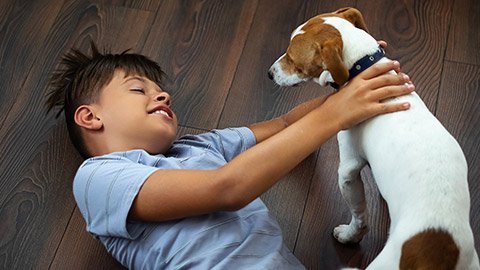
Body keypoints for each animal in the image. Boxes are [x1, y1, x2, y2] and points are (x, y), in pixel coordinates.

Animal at [268, 6, 478, 270]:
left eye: (292, 58)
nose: (269, 74)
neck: (364, 68)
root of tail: (440, 249)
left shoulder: (348, 169)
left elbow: (360, 215)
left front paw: (349, 236)